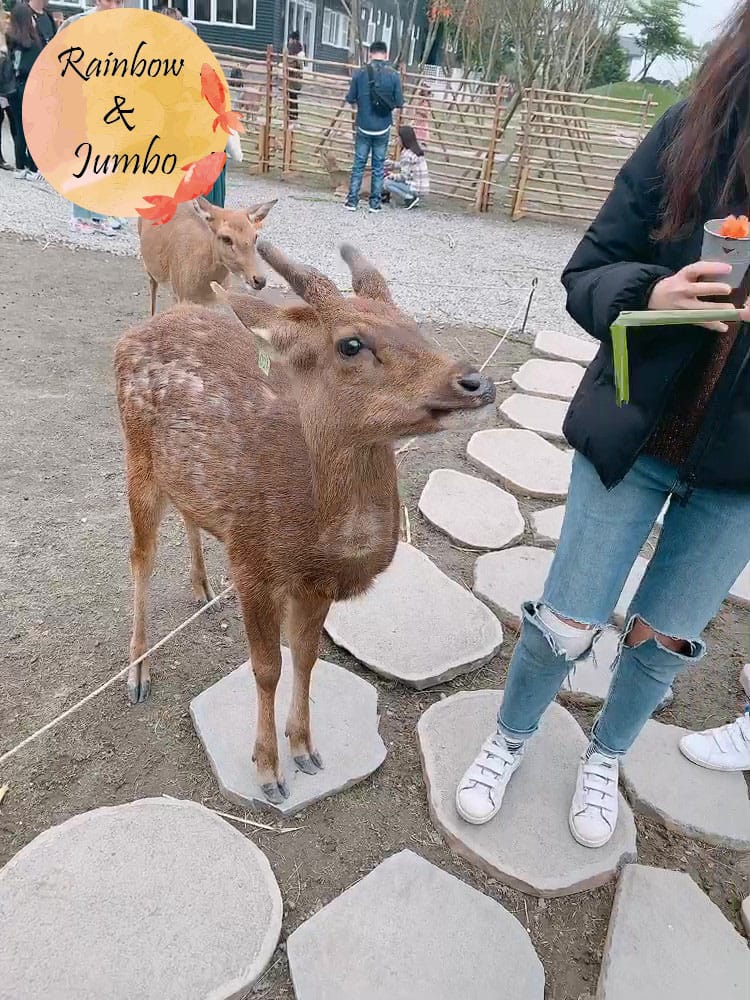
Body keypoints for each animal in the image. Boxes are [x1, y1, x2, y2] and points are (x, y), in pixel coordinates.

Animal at [114, 242, 496, 805]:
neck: (317, 536)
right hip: (137, 459)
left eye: (413, 323)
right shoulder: (251, 563)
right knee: (140, 558)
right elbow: (267, 668)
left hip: (185, 479)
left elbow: (306, 657)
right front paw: (269, 771)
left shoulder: (315, 584)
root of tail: (135, 333)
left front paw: (306, 749)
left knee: (188, 516)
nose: (475, 380)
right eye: (351, 344)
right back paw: (138, 672)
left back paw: (202, 590)